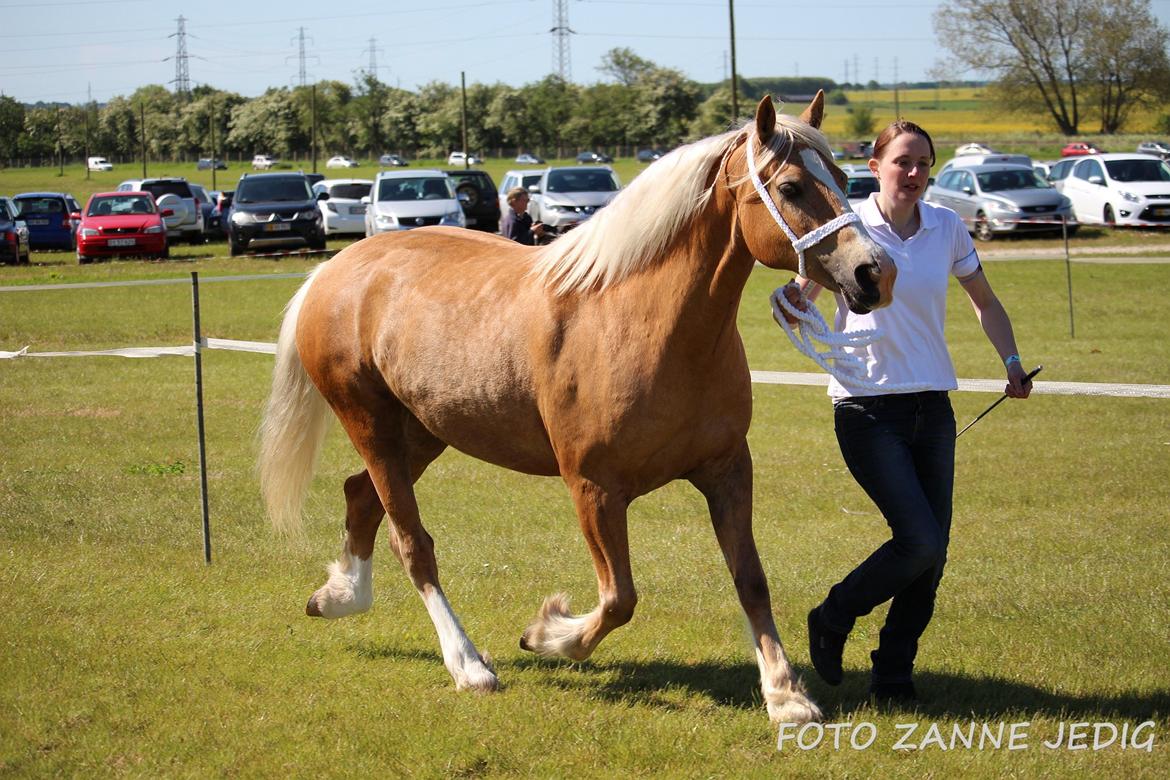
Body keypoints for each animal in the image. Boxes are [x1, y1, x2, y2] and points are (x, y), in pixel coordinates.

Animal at [258, 92, 893, 725]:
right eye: (790, 187)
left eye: (843, 178)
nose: (874, 273)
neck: (640, 321)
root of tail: (335, 269)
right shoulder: (594, 488)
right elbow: (619, 599)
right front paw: (546, 634)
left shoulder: (728, 470)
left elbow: (751, 579)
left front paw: (785, 694)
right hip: (371, 423)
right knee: (413, 544)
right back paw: (468, 665)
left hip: (422, 431)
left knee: (361, 498)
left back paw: (338, 596)